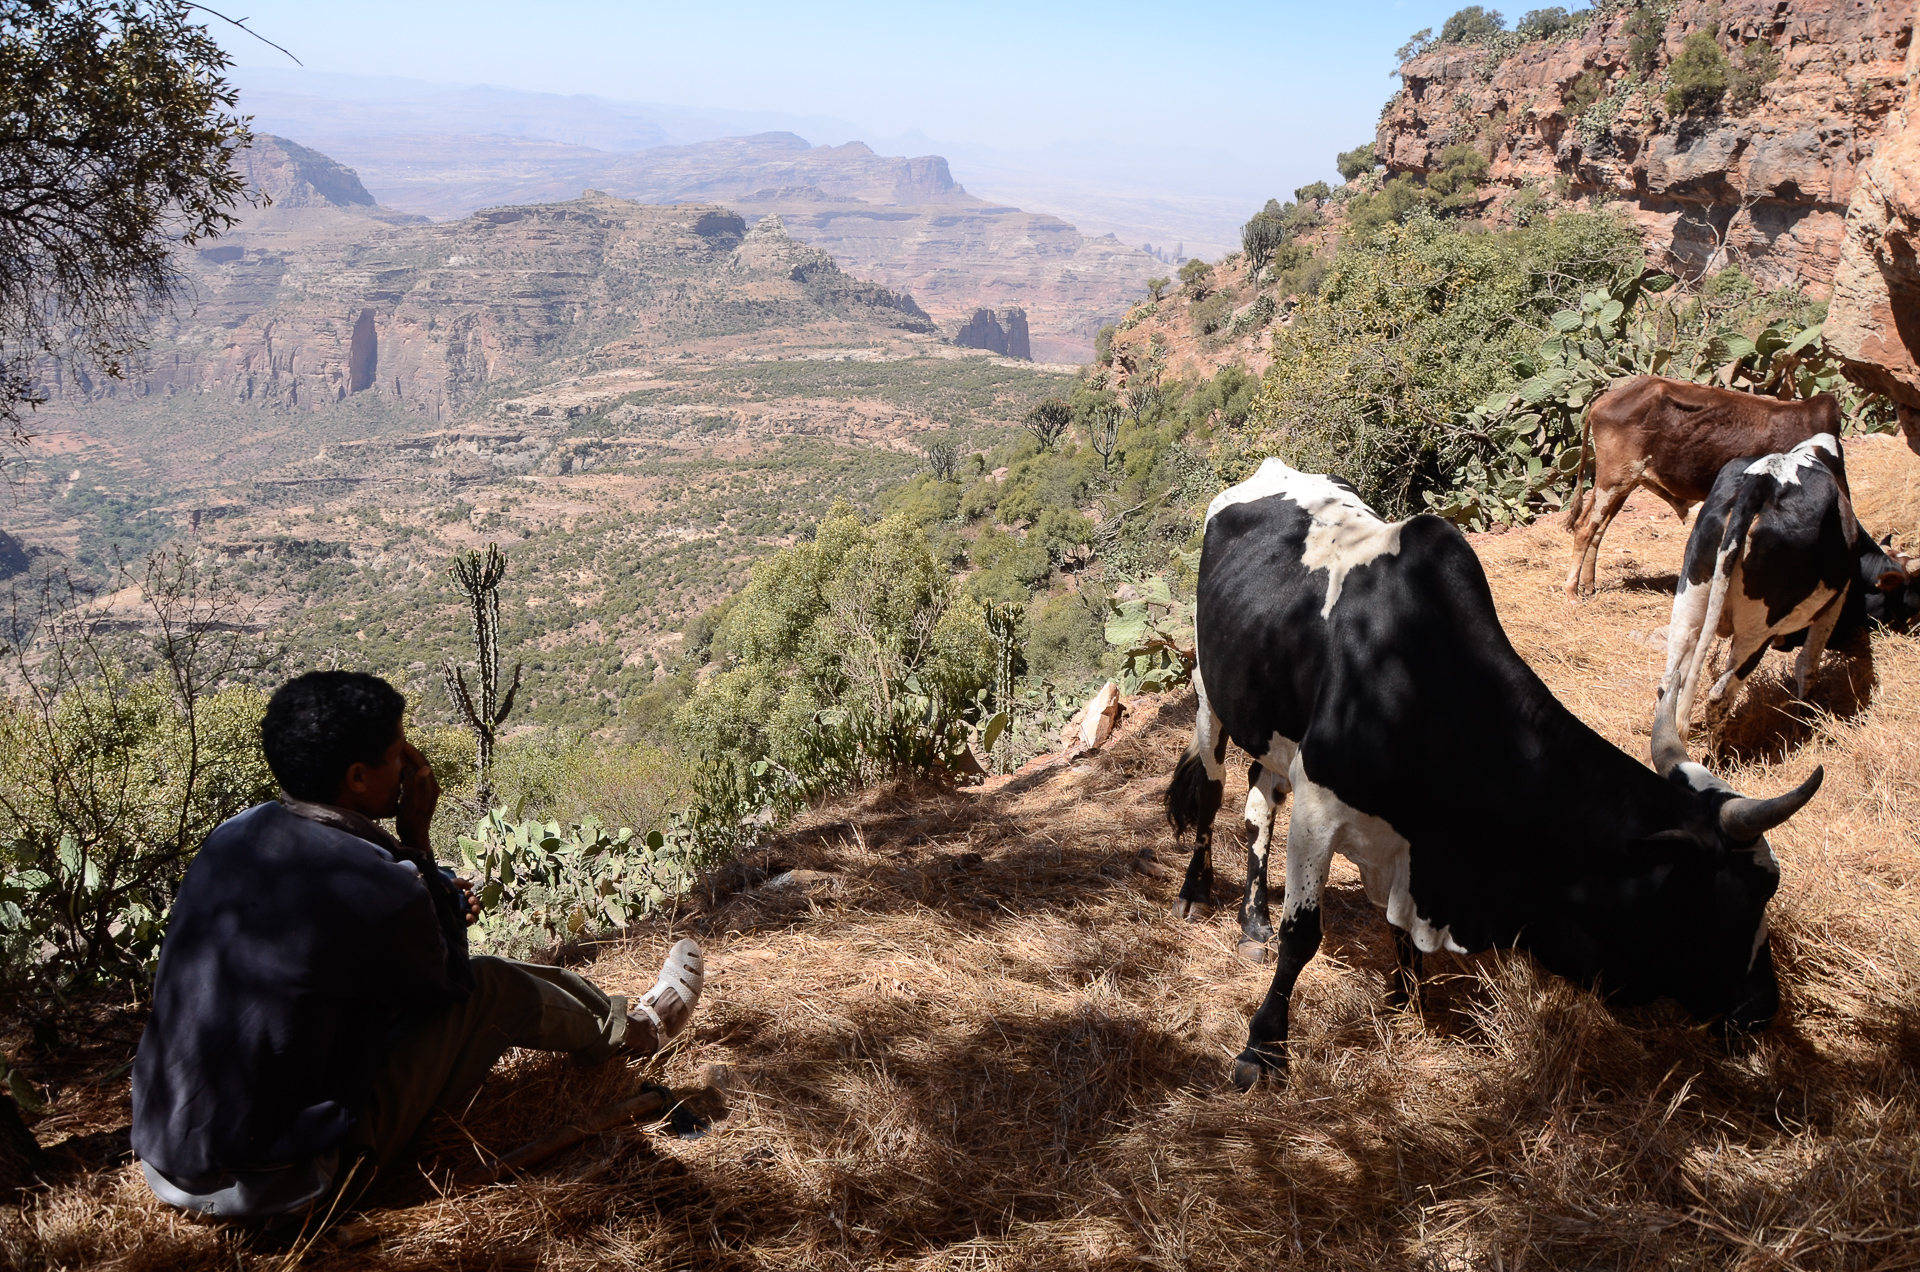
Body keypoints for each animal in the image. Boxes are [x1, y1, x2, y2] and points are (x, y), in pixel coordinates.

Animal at [1159, 463, 1820, 1091]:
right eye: (1728, 898)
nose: (1764, 1008)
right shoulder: (1320, 809)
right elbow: (1303, 937)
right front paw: (1262, 1048)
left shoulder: (1412, 853)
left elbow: (1396, 926)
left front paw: (1406, 1002)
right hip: (1209, 696)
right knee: (1213, 794)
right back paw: (1199, 893)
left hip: (1270, 733)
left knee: (1258, 805)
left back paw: (1253, 921)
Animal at [1559, 376, 1843, 599]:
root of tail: (1602, 402)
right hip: (1614, 480)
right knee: (1585, 529)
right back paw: (1572, 592)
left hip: (1622, 485)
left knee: (1596, 530)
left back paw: (1588, 587)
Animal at [1658, 434, 1912, 741]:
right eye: (1909, 596)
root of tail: (1762, 482)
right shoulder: (1834, 602)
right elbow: (1807, 665)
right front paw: (1805, 718)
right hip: (1757, 630)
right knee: (1719, 694)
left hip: (1690, 602)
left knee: (1670, 681)